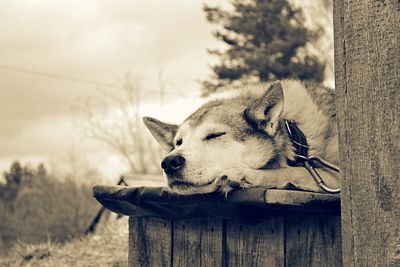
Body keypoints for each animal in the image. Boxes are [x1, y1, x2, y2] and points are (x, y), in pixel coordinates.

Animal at [144, 79, 340, 195]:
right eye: (179, 143)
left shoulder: (337, 177)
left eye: (215, 135)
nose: (169, 162)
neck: (295, 134)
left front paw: (244, 175)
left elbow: (290, 171)